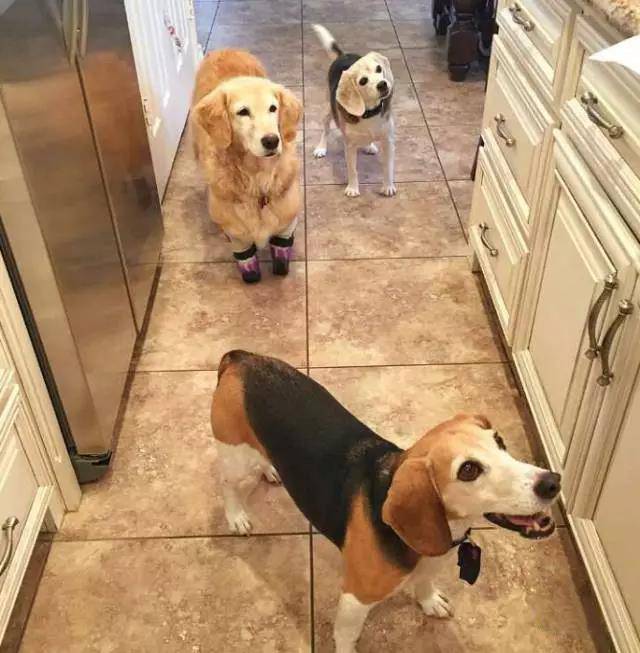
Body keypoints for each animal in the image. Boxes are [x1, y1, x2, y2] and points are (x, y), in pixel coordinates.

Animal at [191, 50, 302, 283]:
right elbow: (247, 261)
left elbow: (281, 254)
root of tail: (225, 49)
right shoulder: (236, 232)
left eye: (273, 108)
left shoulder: (286, 220)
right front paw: (251, 275)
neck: (257, 176)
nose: (271, 141)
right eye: (243, 112)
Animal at [211, 351, 561, 653]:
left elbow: (425, 581)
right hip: (233, 456)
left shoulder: (433, 560)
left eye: (500, 442)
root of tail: (241, 359)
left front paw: (429, 600)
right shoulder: (355, 599)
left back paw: (271, 469)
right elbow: (346, 637)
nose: (552, 482)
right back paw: (236, 516)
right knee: (227, 485)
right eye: (469, 470)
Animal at [312, 24, 396, 198]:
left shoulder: (388, 141)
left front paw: (388, 186)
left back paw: (369, 145)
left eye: (379, 69)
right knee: (325, 129)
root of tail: (343, 55)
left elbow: (388, 168)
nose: (383, 84)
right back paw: (321, 147)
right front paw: (352, 188)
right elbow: (352, 170)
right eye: (363, 81)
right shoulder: (349, 146)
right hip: (328, 110)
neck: (369, 113)